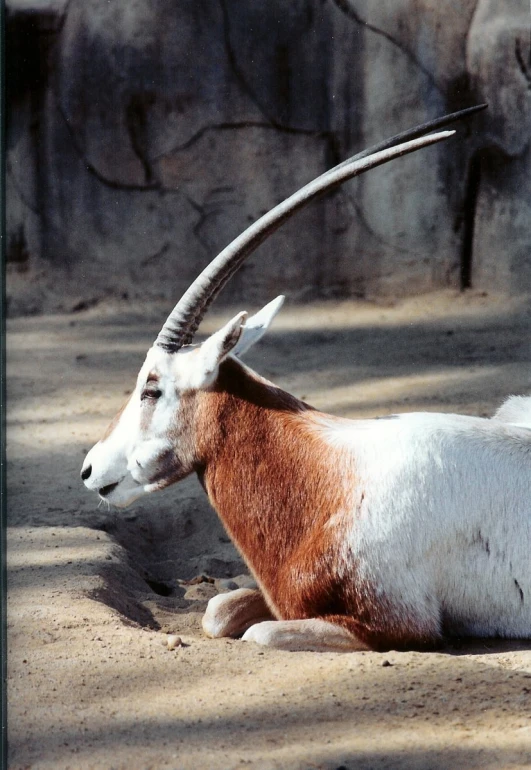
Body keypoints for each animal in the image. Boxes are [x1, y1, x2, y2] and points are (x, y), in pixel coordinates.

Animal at [80, 105, 531, 652]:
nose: (88, 470)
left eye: (152, 387)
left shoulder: (399, 626)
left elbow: (260, 633)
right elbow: (218, 609)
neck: (331, 476)